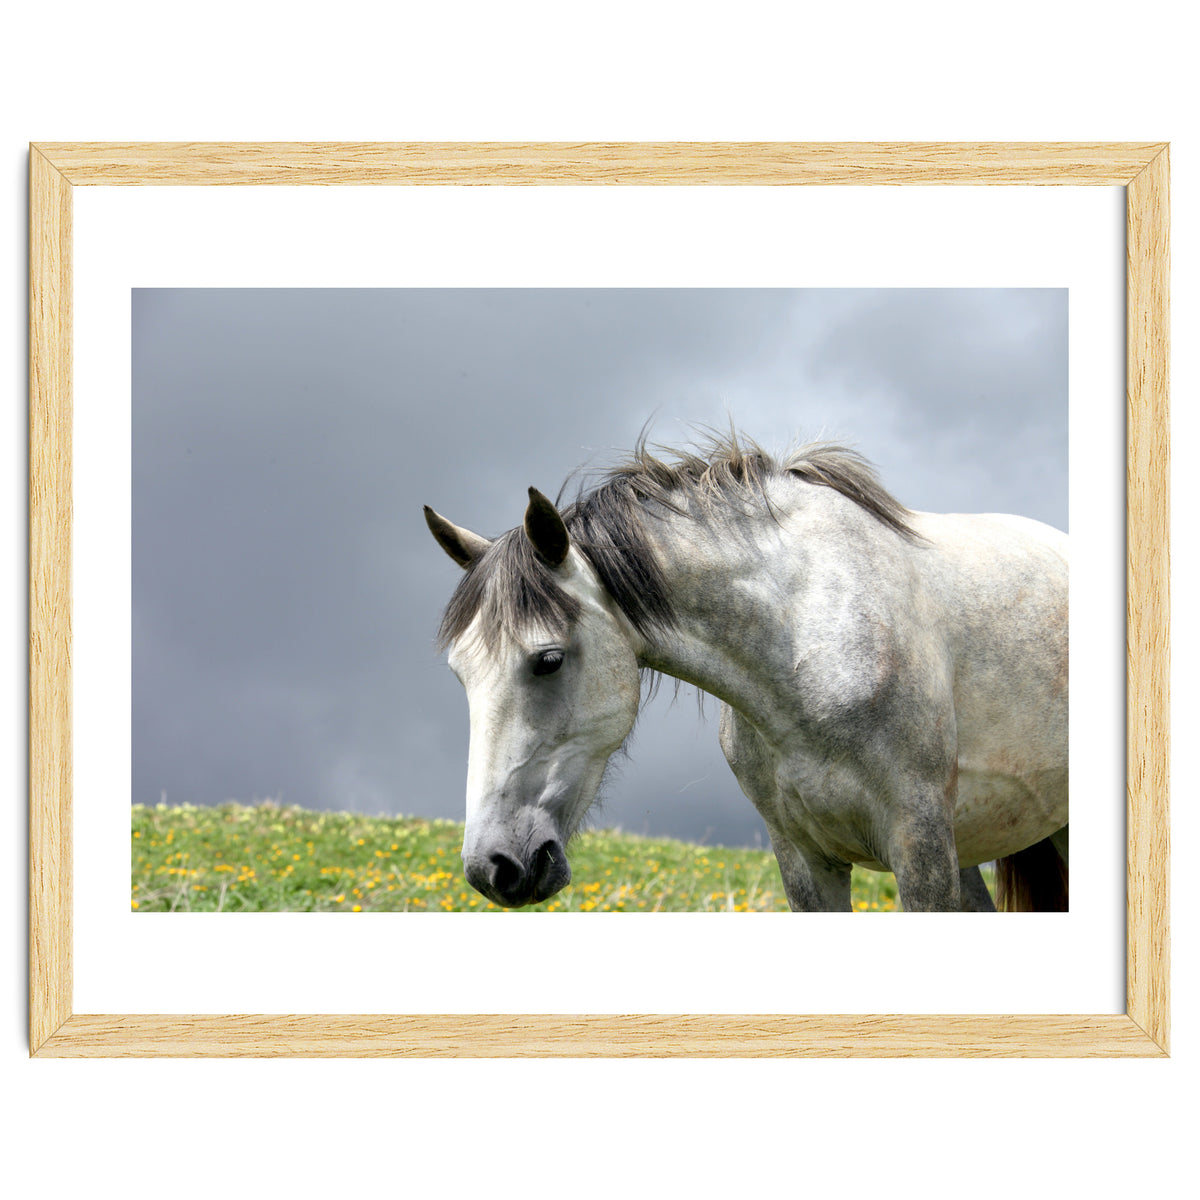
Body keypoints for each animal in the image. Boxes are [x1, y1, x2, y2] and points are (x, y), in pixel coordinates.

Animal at [424, 433, 1068, 912]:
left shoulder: (920, 846)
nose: (493, 867)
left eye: (549, 660)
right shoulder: (805, 860)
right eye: (460, 675)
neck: (807, 643)